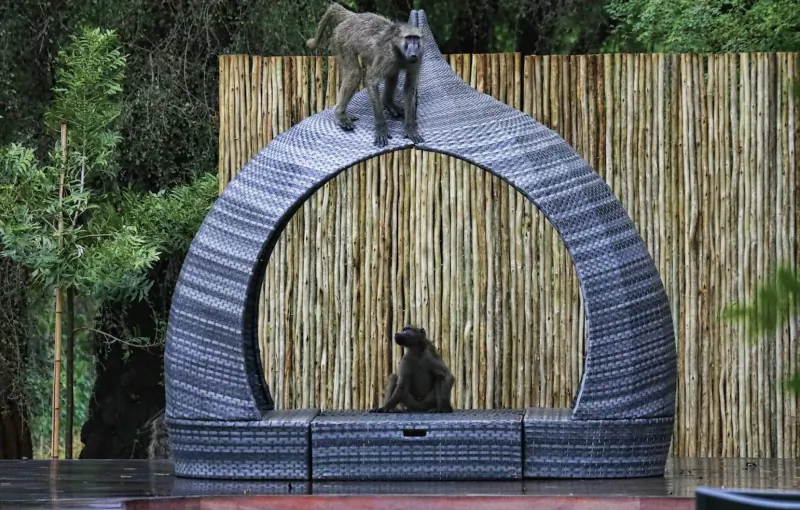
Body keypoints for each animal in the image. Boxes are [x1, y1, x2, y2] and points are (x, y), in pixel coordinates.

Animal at [306, 3, 424, 147]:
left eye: (416, 39)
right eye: (408, 38)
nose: (413, 53)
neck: (399, 50)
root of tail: (354, 16)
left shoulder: (417, 58)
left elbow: (409, 87)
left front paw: (410, 128)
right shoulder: (387, 56)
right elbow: (371, 81)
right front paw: (381, 129)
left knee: (392, 73)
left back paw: (388, 103)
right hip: (343, 39)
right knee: (354, 73)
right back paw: (340, 113)